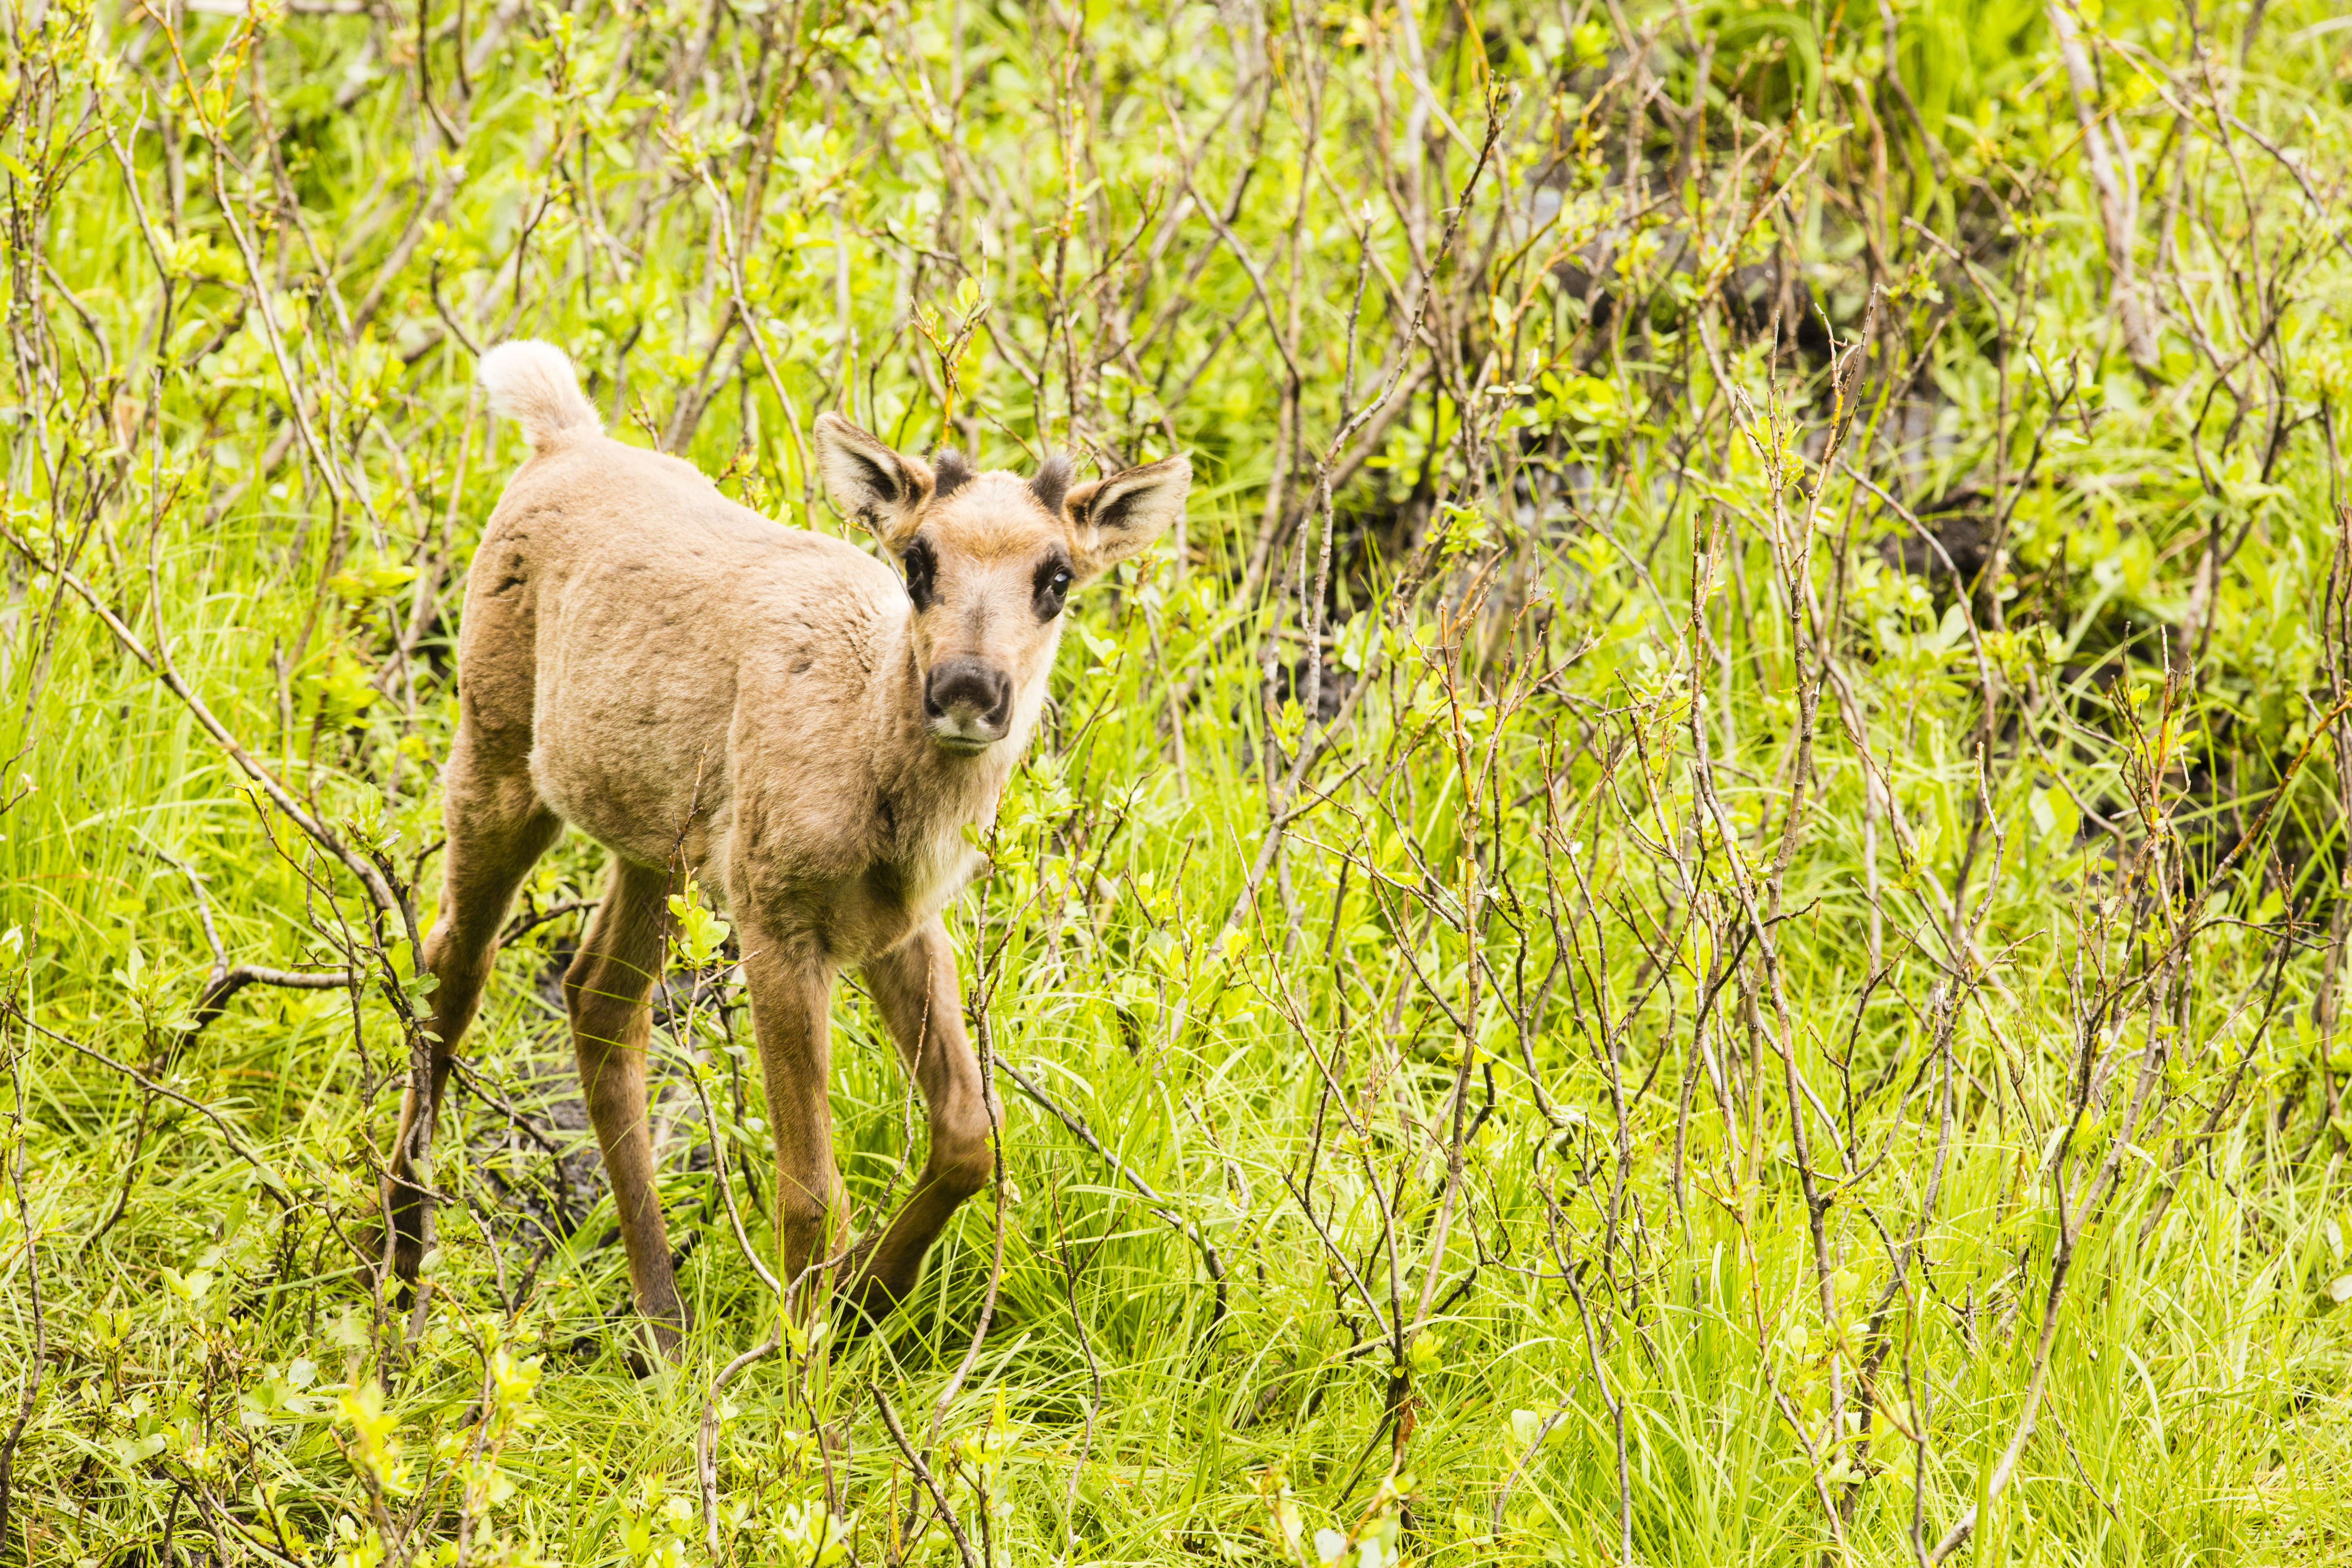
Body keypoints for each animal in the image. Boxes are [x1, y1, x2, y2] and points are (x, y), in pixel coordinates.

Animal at [390, 345, 1195, 1363]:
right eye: (917, 561)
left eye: (1057, 577)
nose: (965, 690)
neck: (878, 787)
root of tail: (560, 435)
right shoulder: (778, 917)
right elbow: (812, 1191)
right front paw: (803, 1362)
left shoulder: (901, 924)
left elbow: (971, 1136)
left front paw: (864, 1303)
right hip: (497, 750)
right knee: (452, 965)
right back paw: (402, 1265)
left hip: (658, 841)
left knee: (599, 998)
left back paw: (662, 1318)